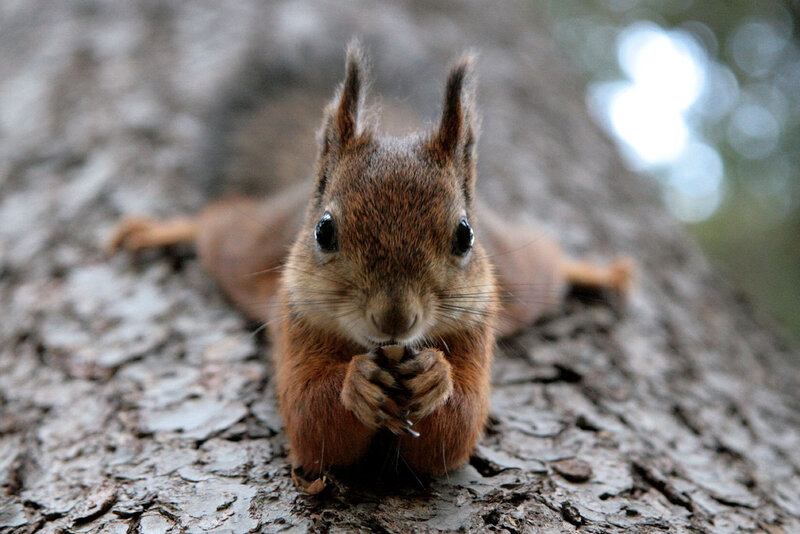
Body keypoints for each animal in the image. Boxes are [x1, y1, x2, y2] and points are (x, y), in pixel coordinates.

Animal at [108, 43, 631, 487]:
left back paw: (600, 272)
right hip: (243, 250)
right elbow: (311, 422)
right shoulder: (294, 320)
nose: (395, 319)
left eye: (464, 235)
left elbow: (454, 433)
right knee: (215, 223)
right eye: (324, 231)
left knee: (548, 263)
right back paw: (160, 229)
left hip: (521, 274)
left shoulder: (475, 328)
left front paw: (436, 377)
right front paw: (356, 383)